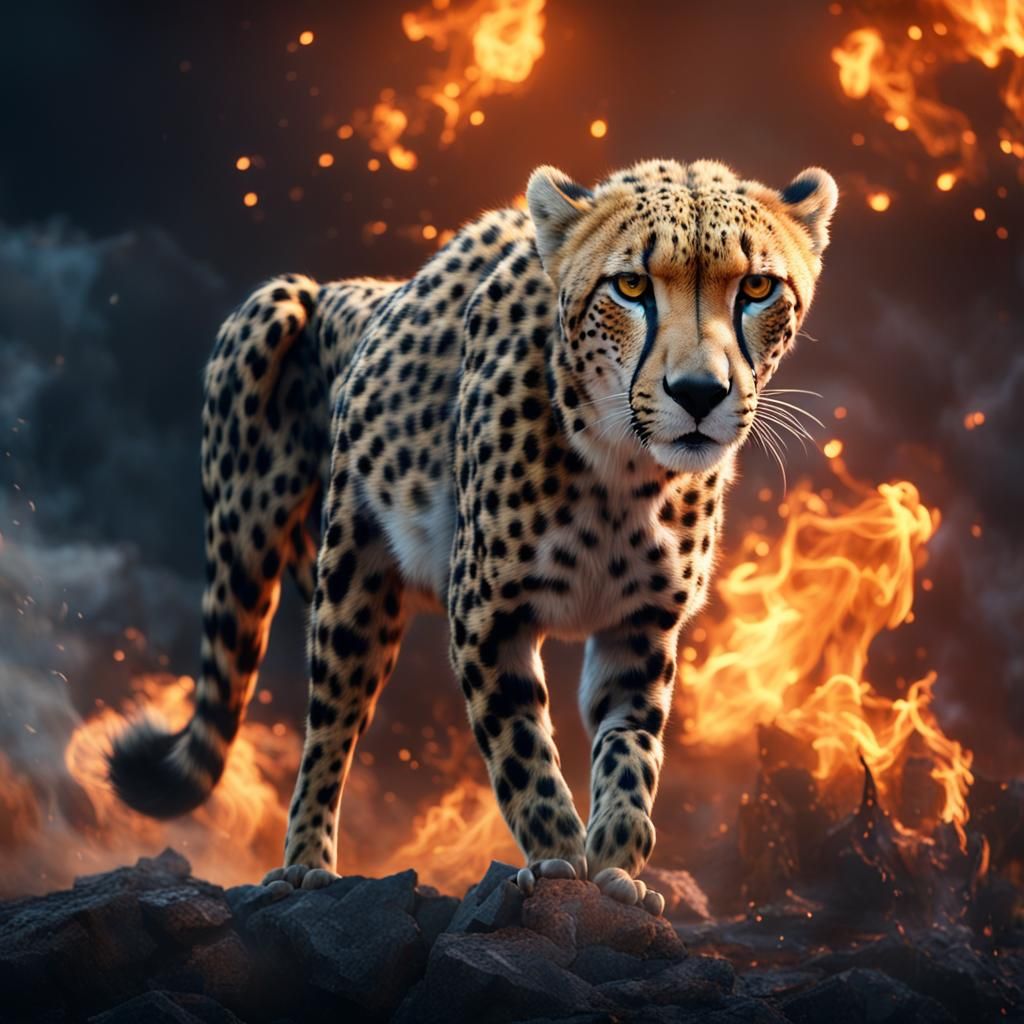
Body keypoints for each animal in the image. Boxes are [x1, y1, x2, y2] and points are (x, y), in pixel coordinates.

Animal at [108, 157, 837, 913]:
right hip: (328, 573)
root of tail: (350, 289)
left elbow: (631, 745)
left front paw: (617, 861)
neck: (625, 471)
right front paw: (558, 857)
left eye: (757, 288)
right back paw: (304, 864)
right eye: (632, 286)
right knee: (328, 725)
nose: (698, 393)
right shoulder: (487, 616)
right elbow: (521, 749)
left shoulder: (641, 628)